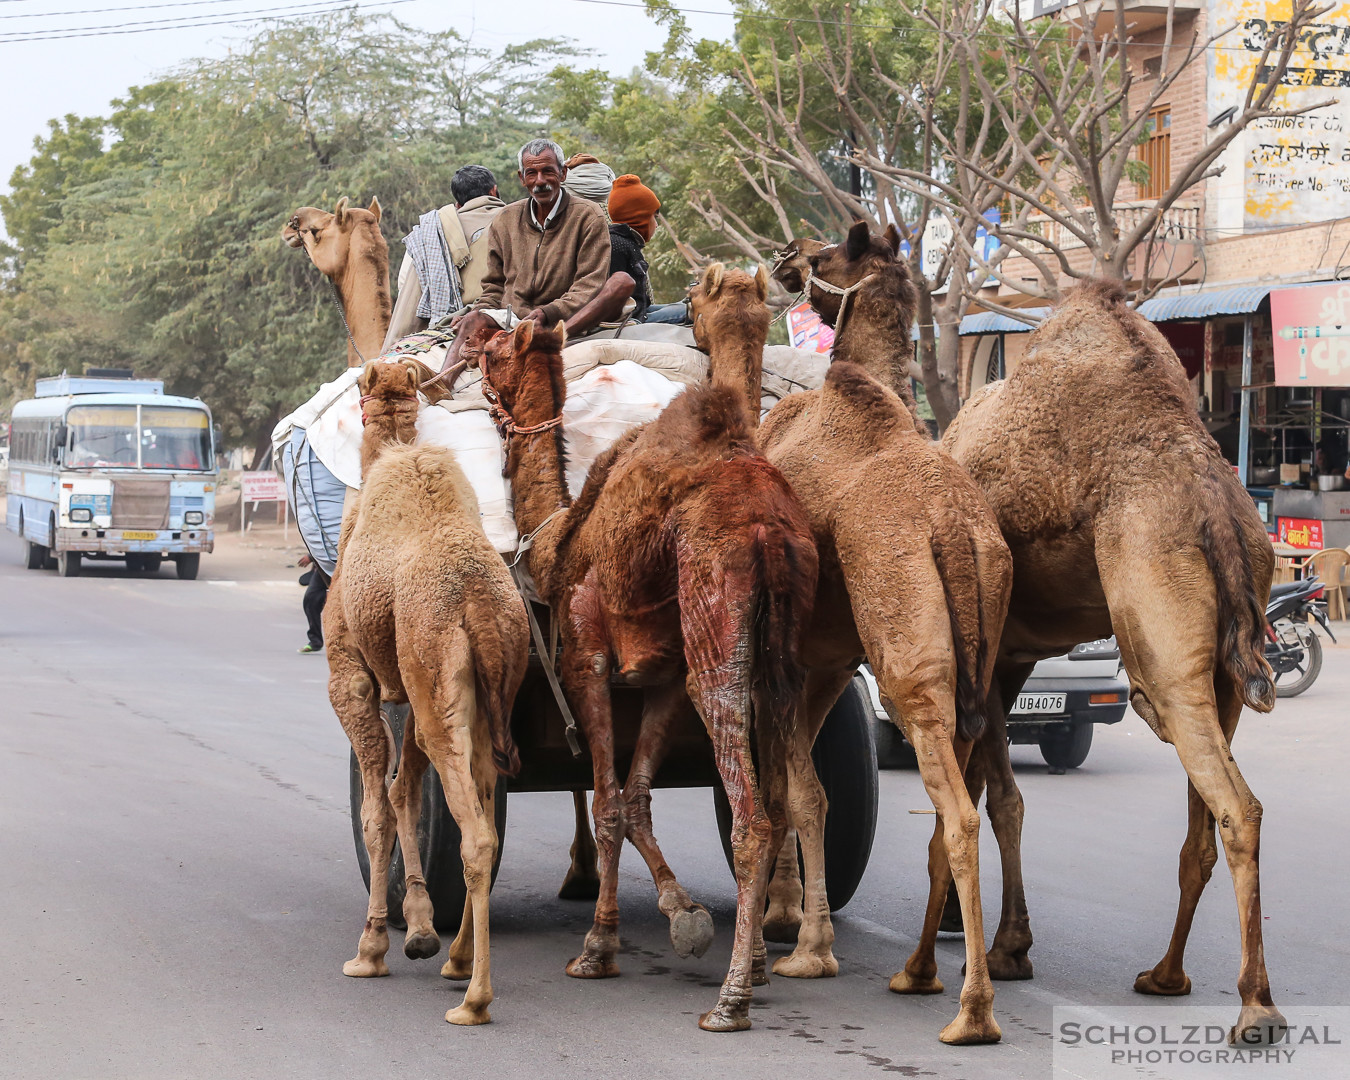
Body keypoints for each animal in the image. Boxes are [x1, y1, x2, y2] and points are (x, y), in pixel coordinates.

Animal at [324, 356, 529, 1031]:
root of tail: (480, 605)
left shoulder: (351, 673)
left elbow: (376, 808)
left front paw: (371, 948)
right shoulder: (406, 689)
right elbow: (403, 792)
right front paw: (417, 929)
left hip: (436, 686)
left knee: (477, 836)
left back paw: (474, 999)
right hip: (485, 698)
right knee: (484, 813)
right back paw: (458, 959)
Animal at [480, 315, 815, 1031]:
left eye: (493, 352)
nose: (473, 341)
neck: (559, 539)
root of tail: (768, 529)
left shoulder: (585, 662)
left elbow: (607, 803)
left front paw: (597, 948)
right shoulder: (660, 678)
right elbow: (635, 799)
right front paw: (684, 916)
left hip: (716, 615)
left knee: (751, 815)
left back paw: (730, 1002)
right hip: (786, 652)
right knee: (781, 802)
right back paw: (758, 965)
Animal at [696, 238, 1015, 1047]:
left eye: (828, 252)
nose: (785, 258)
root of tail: (955, 531)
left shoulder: (793, 663)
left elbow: (796, 793)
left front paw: (800, 947)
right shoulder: (830, 663)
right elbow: (798, 791)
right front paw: (791, 930)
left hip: (907, 668)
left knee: (955, 811)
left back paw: (971, 1013)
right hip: (975, 665)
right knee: (955, 806)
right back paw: (919, 972)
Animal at [788, 225, 1285, 1047]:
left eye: (828, 257)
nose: (786, 260)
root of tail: (1215, 502)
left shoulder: (984, 664)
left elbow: (983, 805)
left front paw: (962, 958)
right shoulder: (1011, 656)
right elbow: (1006, 800)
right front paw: (1007, 947)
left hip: (1157, 643)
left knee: (1233, 803)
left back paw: (1255, 1007)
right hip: (1220, 667)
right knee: (1206, 819)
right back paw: (1166, 975)